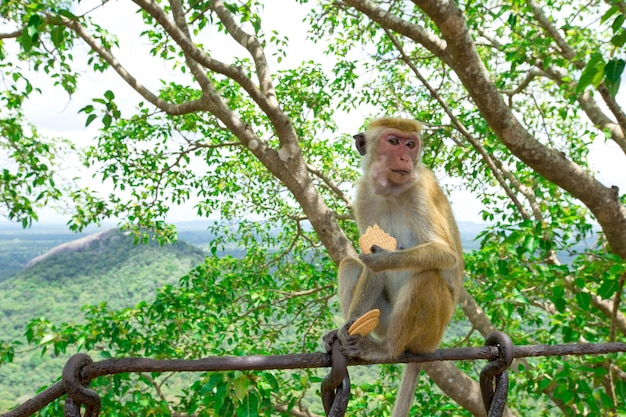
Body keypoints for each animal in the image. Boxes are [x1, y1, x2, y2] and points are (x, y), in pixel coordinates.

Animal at [324, 117, 460, 416]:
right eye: (394, 141)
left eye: (411, 144)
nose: (405, 158)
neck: (391, 193)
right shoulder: (364, 196)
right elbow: (367, 270)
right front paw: (344, 329)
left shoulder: (421, 192)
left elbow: (446, 255)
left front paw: (384, 258)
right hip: (382, 321)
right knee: (349, 265)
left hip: (430, 332)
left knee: (427, 277)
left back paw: (387, 349)